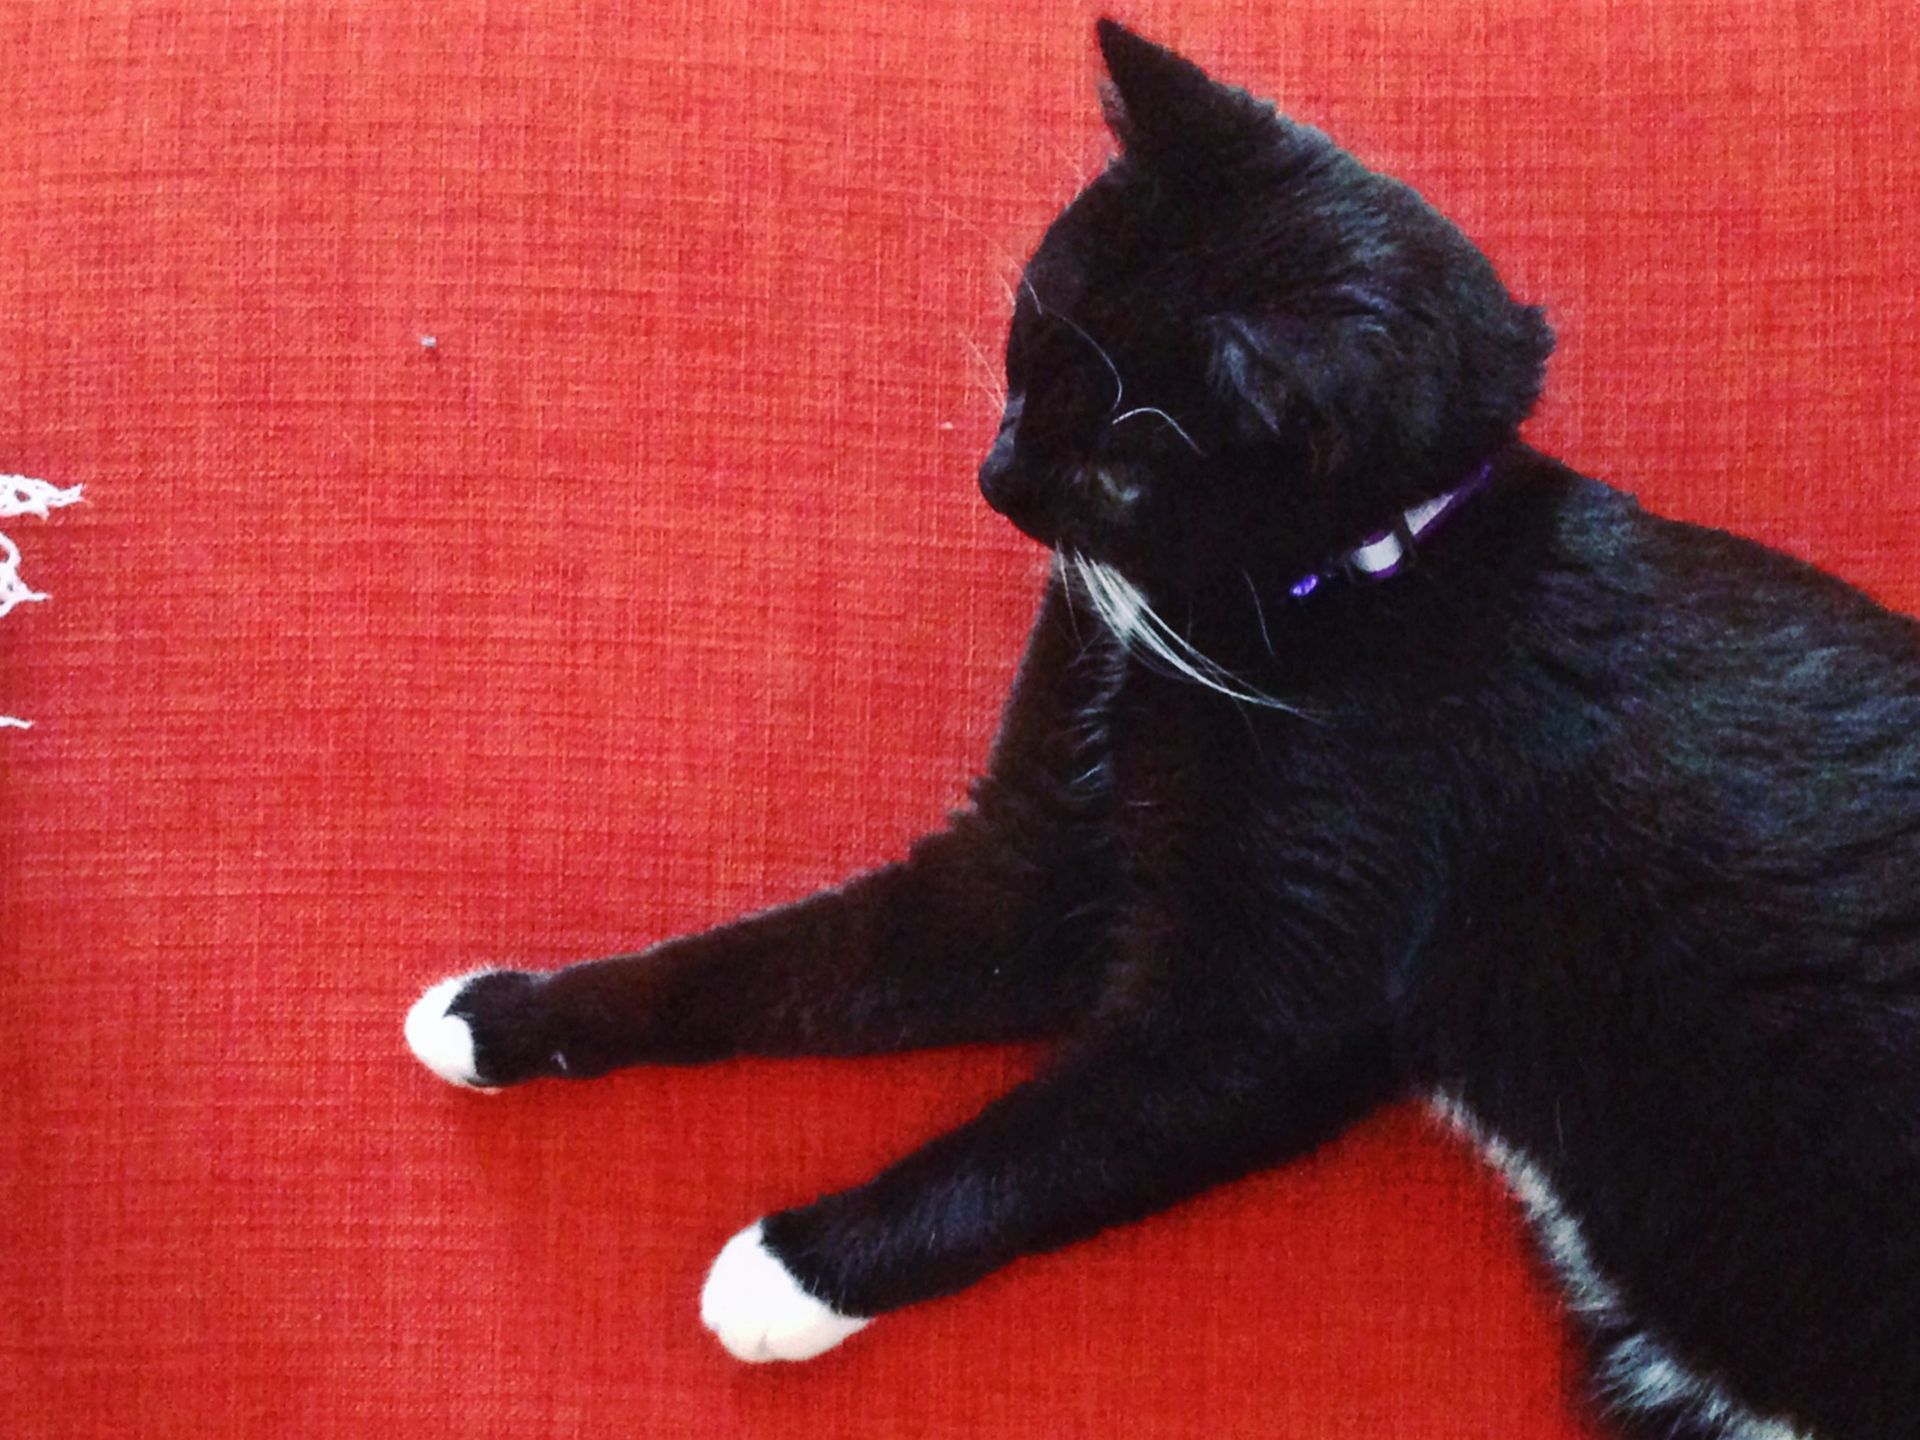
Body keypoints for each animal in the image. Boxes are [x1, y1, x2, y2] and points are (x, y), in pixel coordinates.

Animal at [408, 22, 1920, 1440]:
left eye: (1119, 473)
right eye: (1027, 346)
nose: (996, 474)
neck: (1347, 585)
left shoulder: (1268, 992)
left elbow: (1043, 1141)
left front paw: (786, 1271)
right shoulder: (1029, 870)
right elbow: (770, 964)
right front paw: (497, 1015)